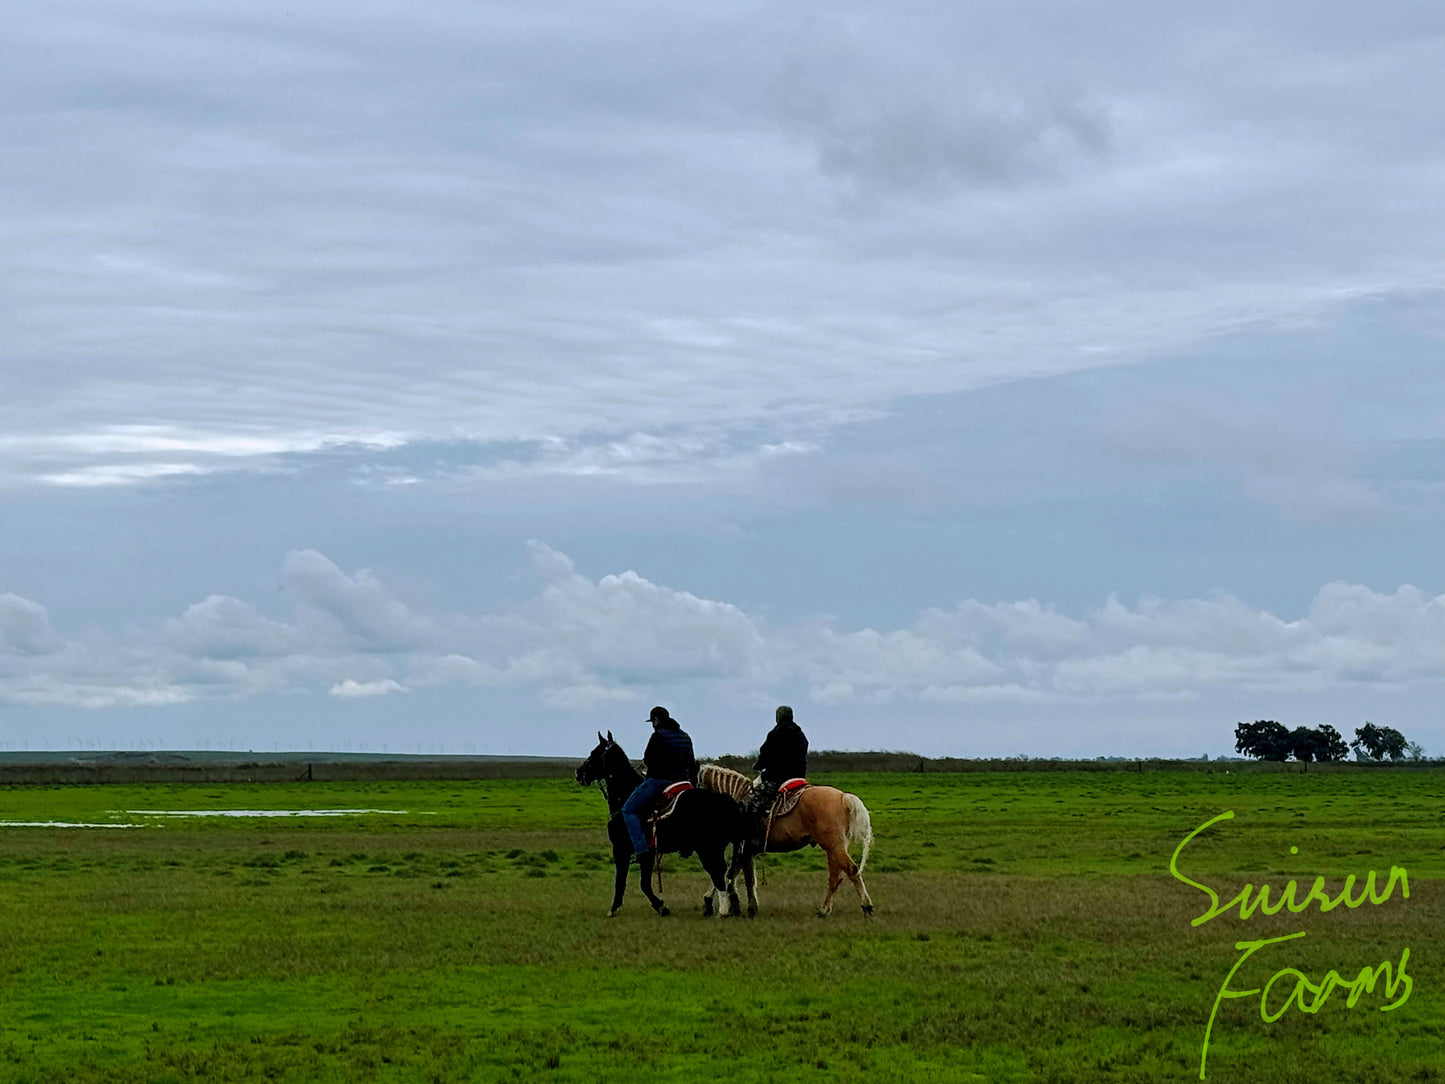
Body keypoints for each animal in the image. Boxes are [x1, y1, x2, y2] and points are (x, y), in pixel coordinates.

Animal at [575, 734, 751, 919]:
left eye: (594, 753)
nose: (579, 773)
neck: (625, 795)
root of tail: (726, 800)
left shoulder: (623, 850)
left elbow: (628, 882)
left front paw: (620, 907)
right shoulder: (648, 853)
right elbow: (641, 882)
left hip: (707, 848)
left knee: (717, 871)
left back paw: (722, 909)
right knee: (724, 871)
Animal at [696, 768, 872, 919]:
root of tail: (843, 797)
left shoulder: (744, 848)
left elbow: (744, 877)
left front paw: (746, 908)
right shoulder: (746, 850)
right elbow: (731, 873)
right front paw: (723, 904)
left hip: (833, 845)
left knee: (851, 869)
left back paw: (866, 906)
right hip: (834, 847)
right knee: (835, 877)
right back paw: (825, 909)